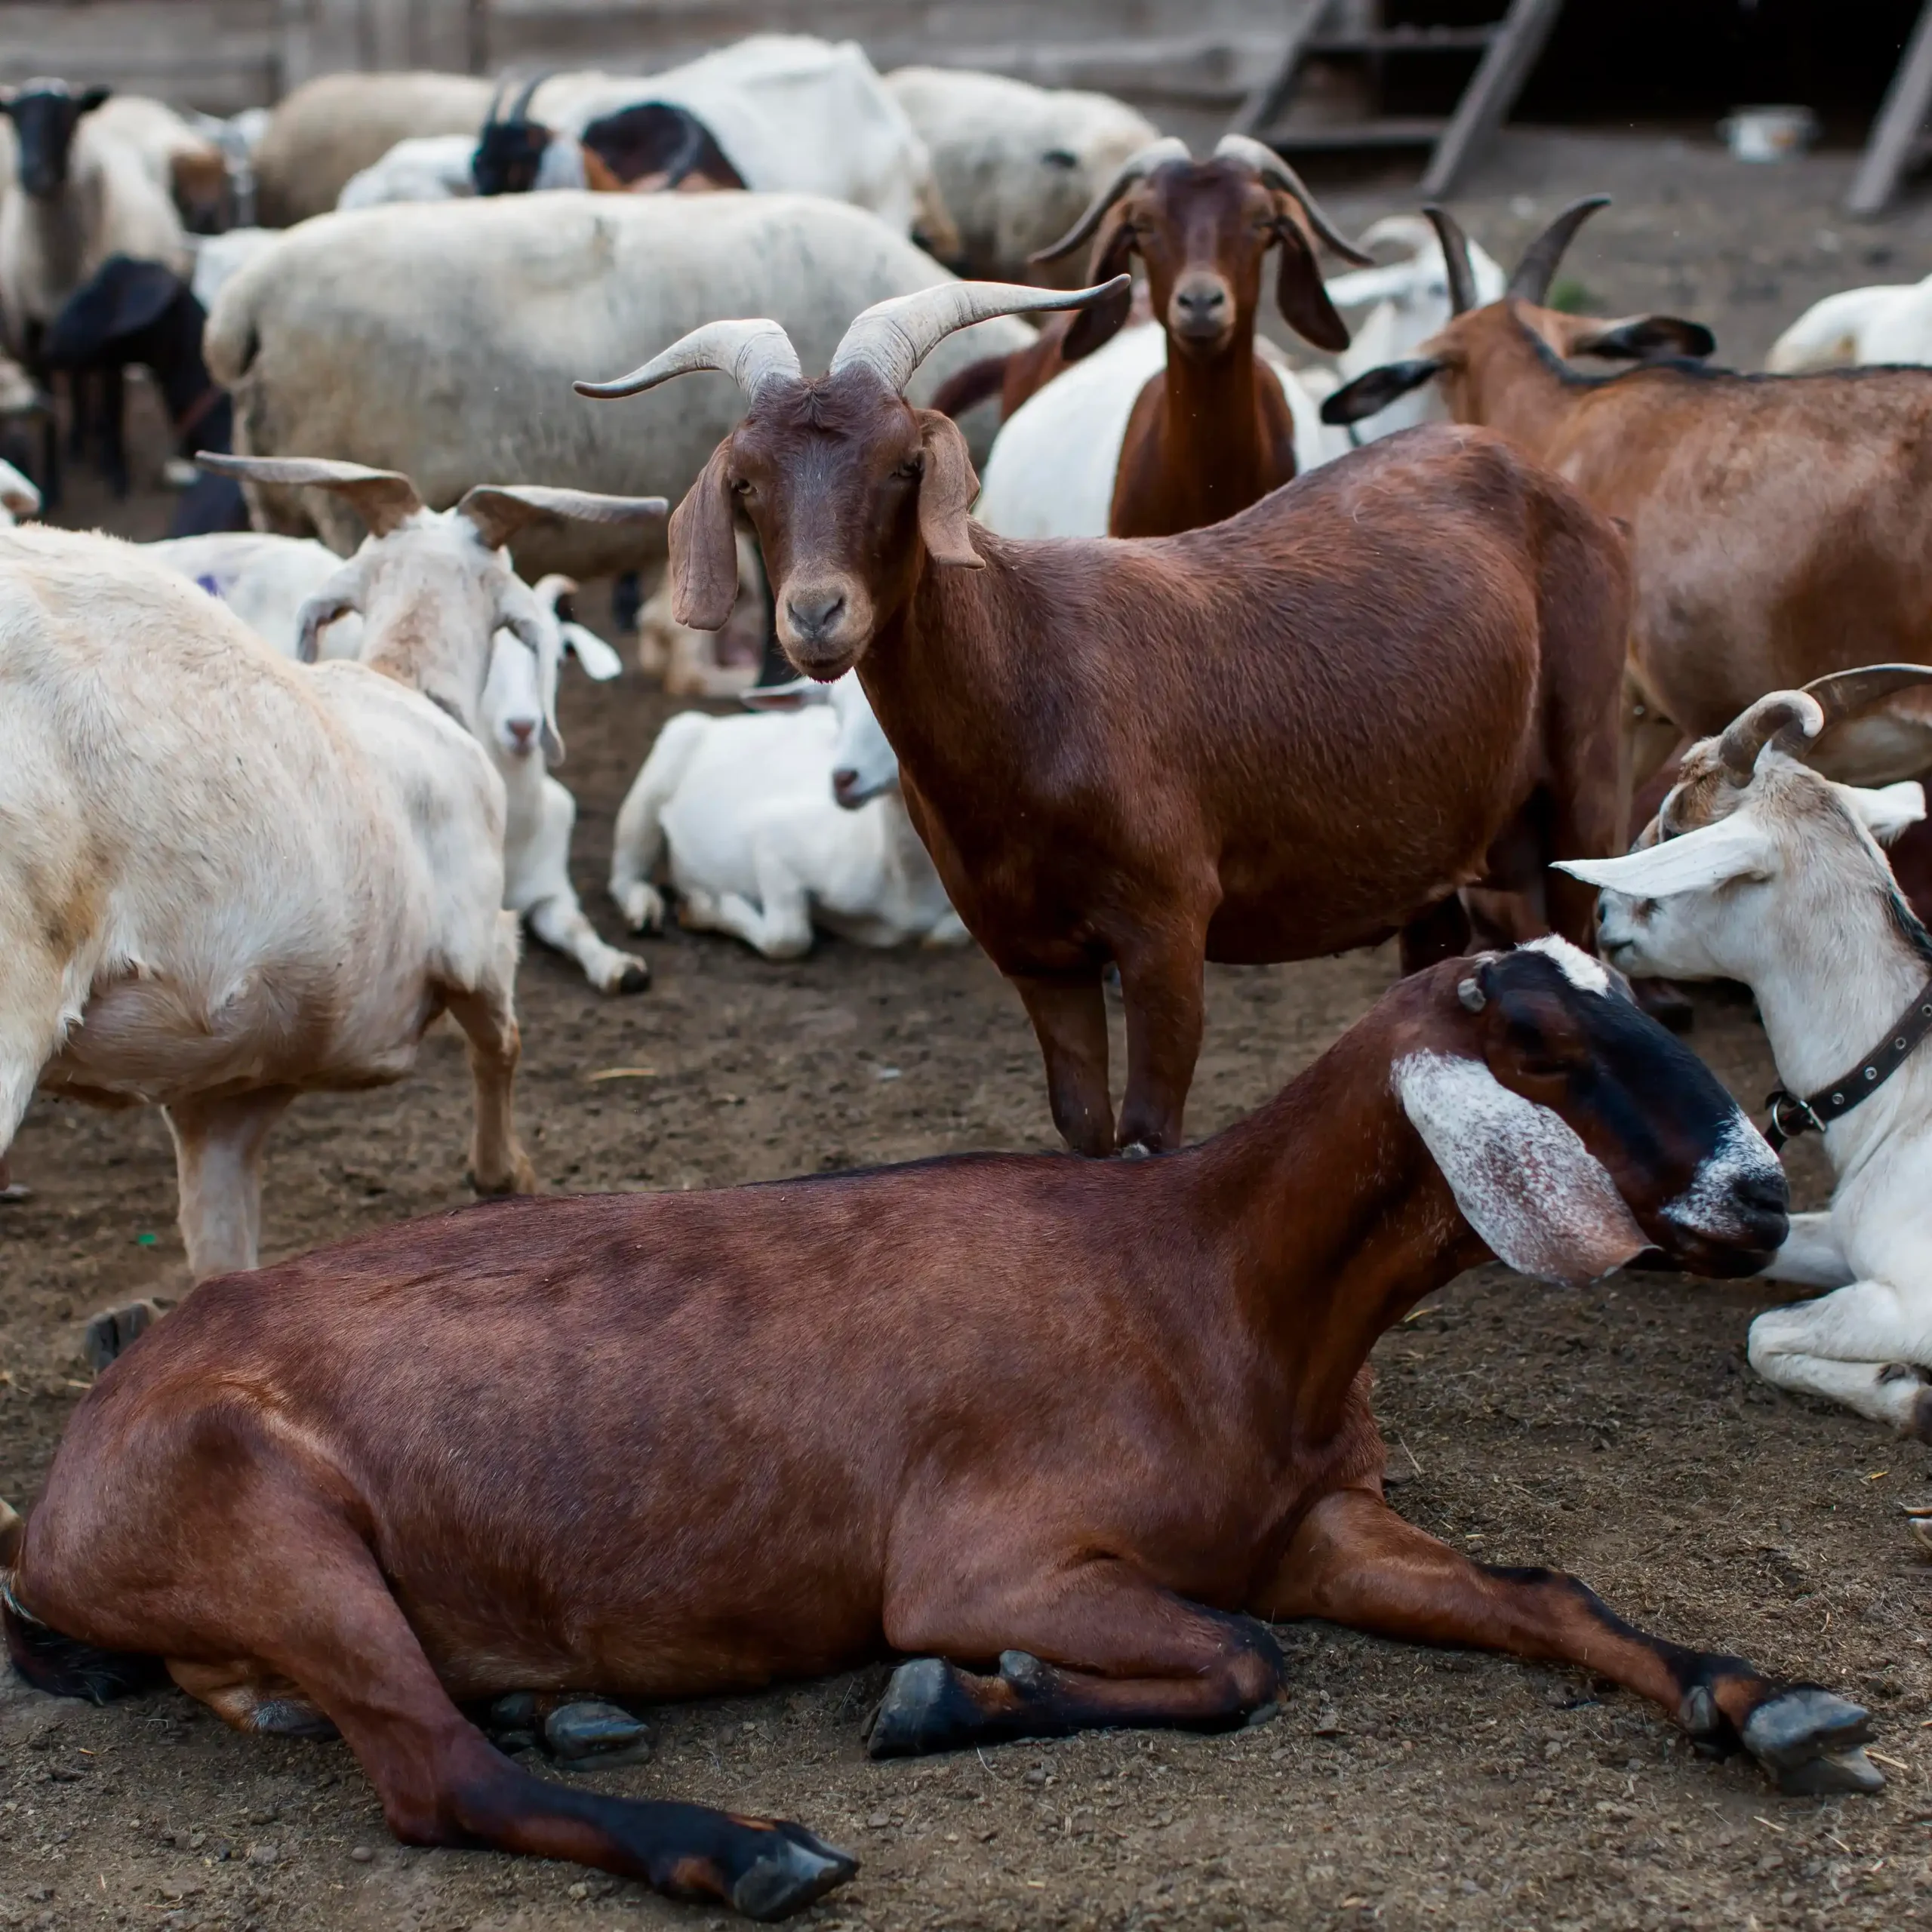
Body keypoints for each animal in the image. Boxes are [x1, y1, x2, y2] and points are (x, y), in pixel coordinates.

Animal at [8, 943, 1891, 1928]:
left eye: (1652, 999)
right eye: (1546, 1043)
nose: (1753, 1192)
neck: (1206, 1275)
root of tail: (61, 1505)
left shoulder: (1319, 1522)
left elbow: (1542, 1592)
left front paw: (1769, 1700)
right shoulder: (986, 1557)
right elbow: (1240, 1659)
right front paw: (945, 1698)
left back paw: (566, 1699)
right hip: (262, 1514)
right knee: (431, 1777)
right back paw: (741, 1844)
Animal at [609, 673, 964, 957]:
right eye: (836, 709)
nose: (842, 778)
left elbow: (943, 937)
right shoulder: (775, 839)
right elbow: (787, 938)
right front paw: (704, 907)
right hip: (655, 776)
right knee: (625, 873)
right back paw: (645, 912)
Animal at [1557, 667, 1932, 1448]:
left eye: (1673, 831)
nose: (1603, 916)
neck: (1907, 1095)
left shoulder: (1913, 1304)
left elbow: (1764, 1334)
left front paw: (1915, 1396)